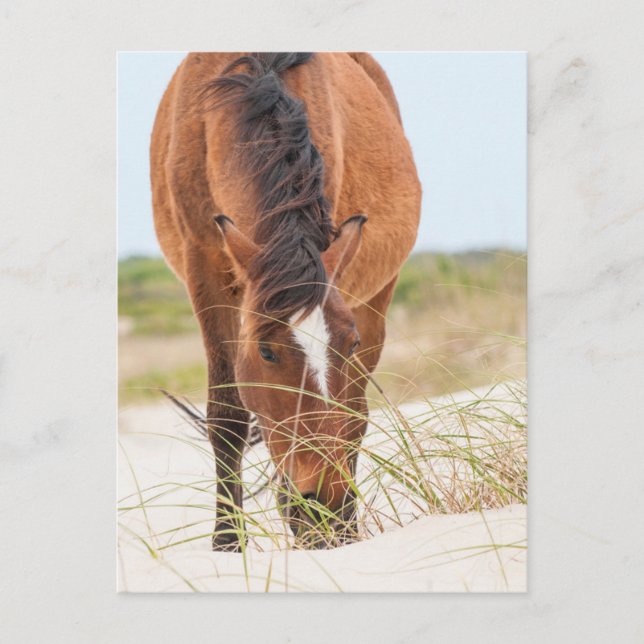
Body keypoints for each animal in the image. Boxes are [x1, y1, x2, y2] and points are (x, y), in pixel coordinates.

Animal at [150, 52, 421, 550]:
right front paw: (227, 543)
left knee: (356, 413)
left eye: (350, 343)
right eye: (266, 351)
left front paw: (334, 524)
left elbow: (346, 415)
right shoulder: (205, 269)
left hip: (378, 296)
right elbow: (228, 416)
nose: (324, 500)